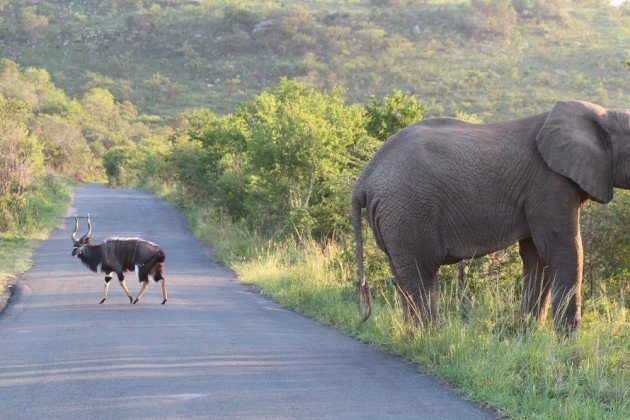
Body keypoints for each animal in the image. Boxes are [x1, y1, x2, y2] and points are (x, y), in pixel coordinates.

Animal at [354, 100, 628, 330]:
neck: (604, 115)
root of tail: (365, 177)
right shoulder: (549, 184)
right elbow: (564, 251)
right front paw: (567, 342)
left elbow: (536, 256)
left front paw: (530, 337)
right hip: (407, 210)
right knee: (421, 272)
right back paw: (431, 336)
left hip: (394, 216)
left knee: (403, 273)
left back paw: (413, 335)